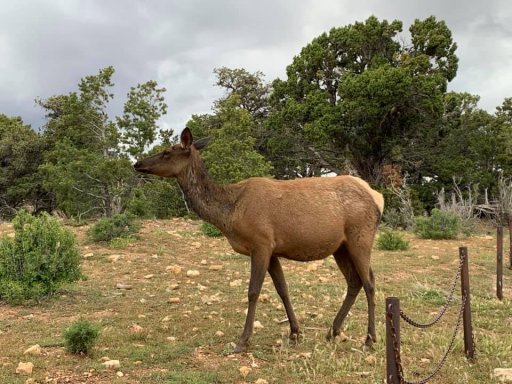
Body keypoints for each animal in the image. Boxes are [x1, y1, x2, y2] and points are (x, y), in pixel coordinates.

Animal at [134, 127, 382, 352]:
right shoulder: (273, 250)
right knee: (354, 282)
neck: (229, 213)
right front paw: (295, 333)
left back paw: (369, 340)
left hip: (360, 237)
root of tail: (378, 198)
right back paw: (332, 332)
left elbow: (253, 291)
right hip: (340, 247)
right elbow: (282, 289)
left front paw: (243, 341)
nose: (137, 163)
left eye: (167, 152)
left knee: (369, 282)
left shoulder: (260, 243)